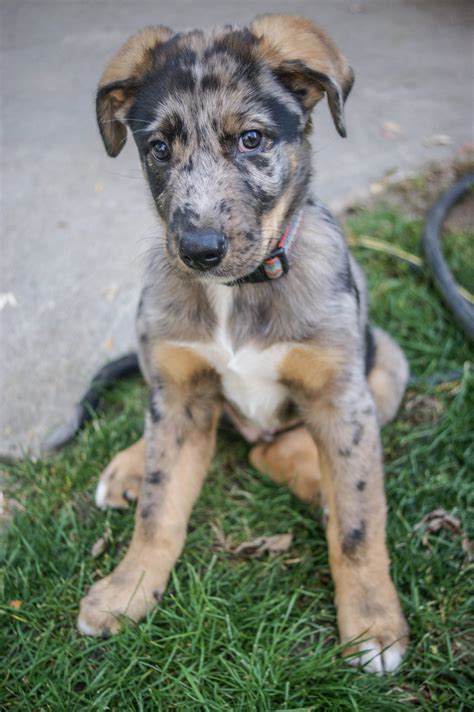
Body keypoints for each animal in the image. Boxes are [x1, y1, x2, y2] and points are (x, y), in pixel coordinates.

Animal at [79, 15, 410, 672]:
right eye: (158, 149)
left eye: (252, 140)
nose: (198, 250)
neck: (238, 292)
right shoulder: (181, 390)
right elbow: (159, 507)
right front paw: (126, 590)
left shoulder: (342, 398)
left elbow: (360, 522)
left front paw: (374, 624)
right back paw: (129, 466)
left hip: (385, 367)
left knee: (278, 453)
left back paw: (319, 486)